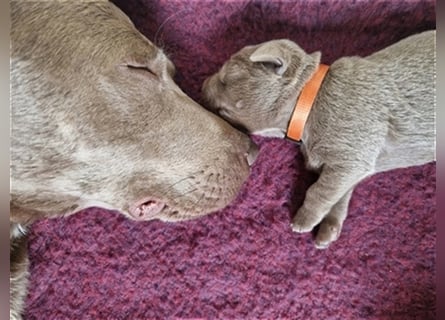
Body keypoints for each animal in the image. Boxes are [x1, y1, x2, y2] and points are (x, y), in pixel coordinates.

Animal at [203, 30, 436, 249]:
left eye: (225, 79)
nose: (202, 84)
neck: (309, 103)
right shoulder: (354, 166)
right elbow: (339, 193)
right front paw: (329, 228)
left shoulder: (353, 156)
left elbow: (320, 190)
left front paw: (303, 220)